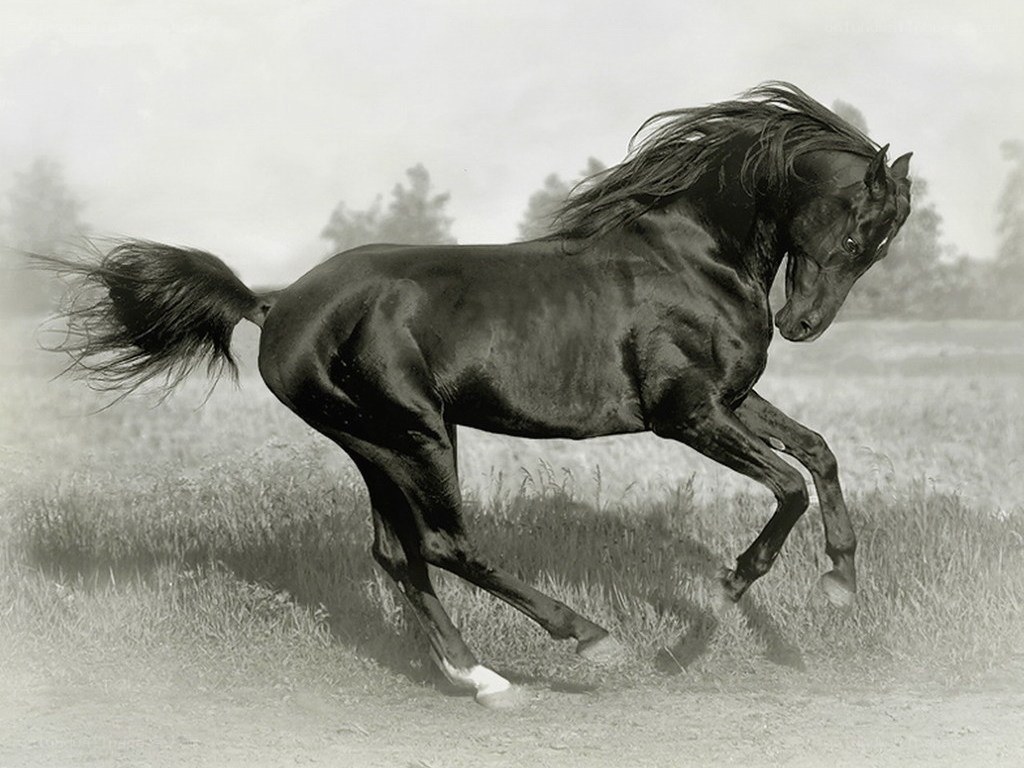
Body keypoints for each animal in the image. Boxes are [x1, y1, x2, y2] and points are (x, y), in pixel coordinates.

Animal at [39, 83, 912, 708]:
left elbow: (819, 455)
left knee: (398, 554)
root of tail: (276, 305)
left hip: (378, 445)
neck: (692, 259)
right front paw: (721, 599)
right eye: (857, 228)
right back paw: (589, 640)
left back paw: (480, 680)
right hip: (415, 433)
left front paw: (840, 581)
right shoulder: (683, 414)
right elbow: (788, 486)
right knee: (444, 545)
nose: (802, 325)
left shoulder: (729, 399)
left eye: (882, 242)